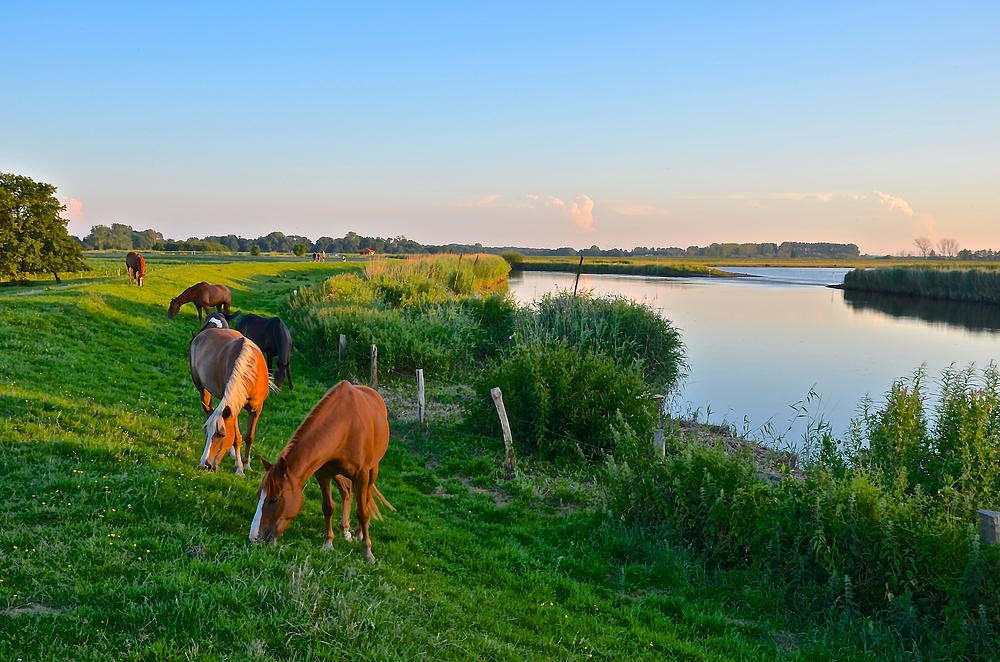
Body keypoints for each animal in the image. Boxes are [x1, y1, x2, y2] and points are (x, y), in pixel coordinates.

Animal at [187, 328, 274, 474]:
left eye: (222, 435)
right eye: (205, 432)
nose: (205, 465)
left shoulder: (257, 409)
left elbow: (249, 436)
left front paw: (246, 464)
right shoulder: (234, 409)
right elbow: (237, 438)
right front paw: (239, 467)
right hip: (202, 389)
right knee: (208, 410)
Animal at [248, 382, 392, 564]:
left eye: (274, 499)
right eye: (259, 495)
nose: (254, 538)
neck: (345, 426)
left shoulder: (361, 476)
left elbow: (362, 512)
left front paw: (368, 552)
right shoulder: (322, 474)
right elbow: (328, 507)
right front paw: (328, 544)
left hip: (372, 471)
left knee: (365, 499)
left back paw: (358, 533)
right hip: (337, 473)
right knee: (346, 492)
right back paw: (345, 529)